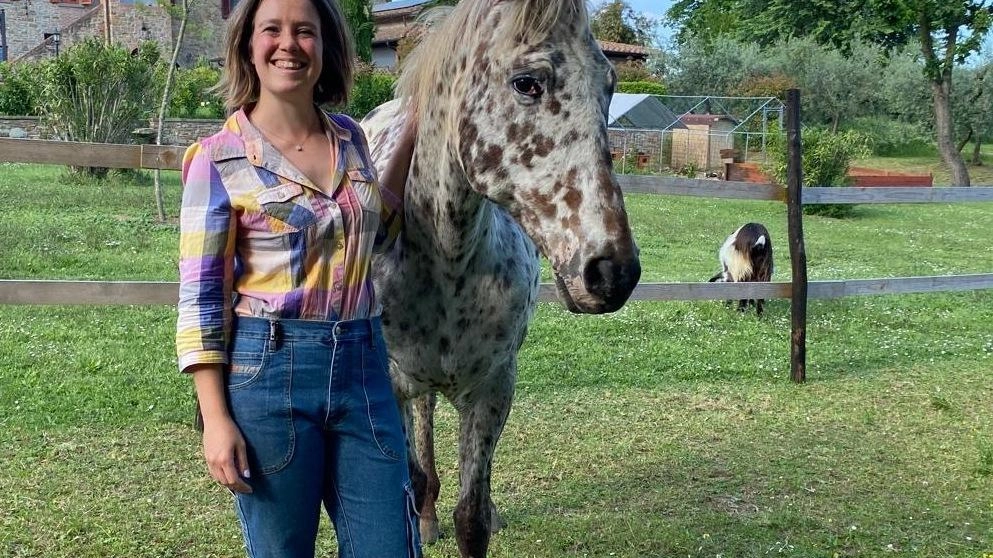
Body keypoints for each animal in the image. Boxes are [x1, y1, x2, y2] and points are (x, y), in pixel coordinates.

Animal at [364, 2, 644, 556]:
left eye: (609, 85)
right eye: (527, 83)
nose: (612, 271)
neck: (447, 263)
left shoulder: (493, 389)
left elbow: (472, 516)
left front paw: (476, 516)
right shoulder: (394, 386)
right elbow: (411, 482)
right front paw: (422, 519)